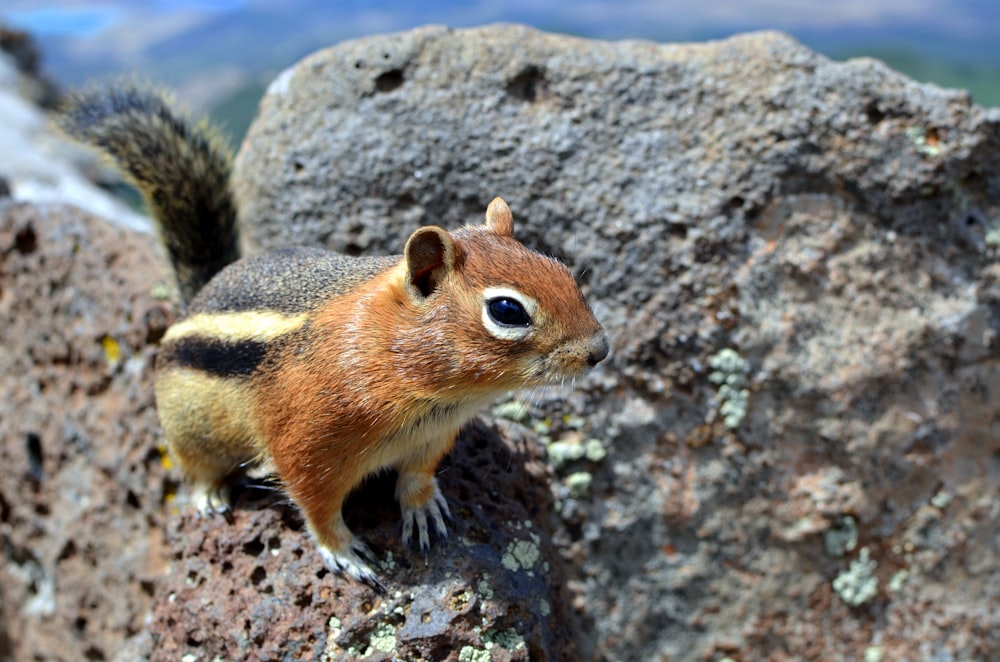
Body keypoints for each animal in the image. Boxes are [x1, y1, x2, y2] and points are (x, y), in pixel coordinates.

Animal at [64, 84, 608, 592]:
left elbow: (417, 476)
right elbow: (316, 507)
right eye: (507, 310)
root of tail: (197, 295)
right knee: (195, 467)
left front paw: (423, 507)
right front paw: (344, 551)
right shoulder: (306, 446)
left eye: (562, 271)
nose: (600, 351)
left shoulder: (432, 437)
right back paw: (210, 496)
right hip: (185, 428)